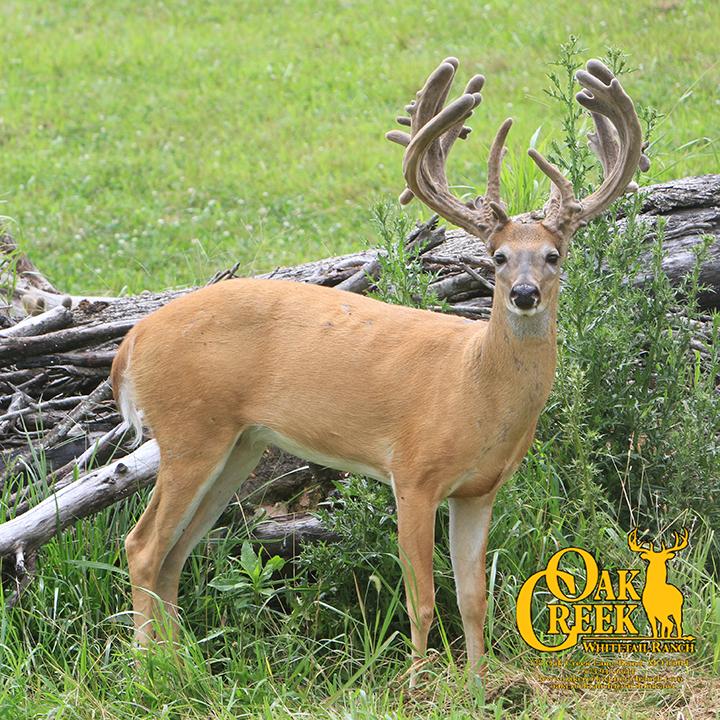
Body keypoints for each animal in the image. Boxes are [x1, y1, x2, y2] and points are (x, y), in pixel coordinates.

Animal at [111, 56, 648, 680]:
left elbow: (473, 597)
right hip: (189, 430)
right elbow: (421, 597)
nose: (524, 294)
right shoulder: (412, 472)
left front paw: (479, 683)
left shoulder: (479, 489)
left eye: (553, 256)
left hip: (238, 444)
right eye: (497, 257)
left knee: (176, 551)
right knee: (143, 545)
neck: (474, 388)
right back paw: (148, 671)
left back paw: (182, 667)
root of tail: (133, 340)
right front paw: (417, 681)